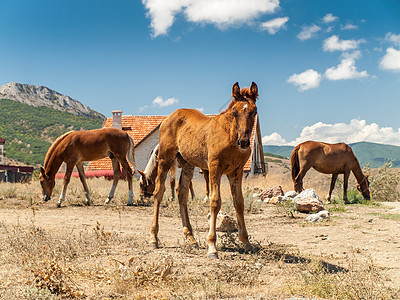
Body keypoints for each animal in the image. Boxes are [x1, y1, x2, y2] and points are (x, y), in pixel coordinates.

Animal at [148, 81, 258, 258]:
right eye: (235, 112)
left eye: (254, 112)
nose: (244, 142)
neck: (229, 135)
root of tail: (168, 119)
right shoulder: (214, 168)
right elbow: (215, 201)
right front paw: (212, 246)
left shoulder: (237, 171)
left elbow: (239, 203)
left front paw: (246, 243)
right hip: (165, 159)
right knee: (158, 192)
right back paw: (153, 238)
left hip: (187, 164)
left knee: (182, 194)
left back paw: (191, 238)